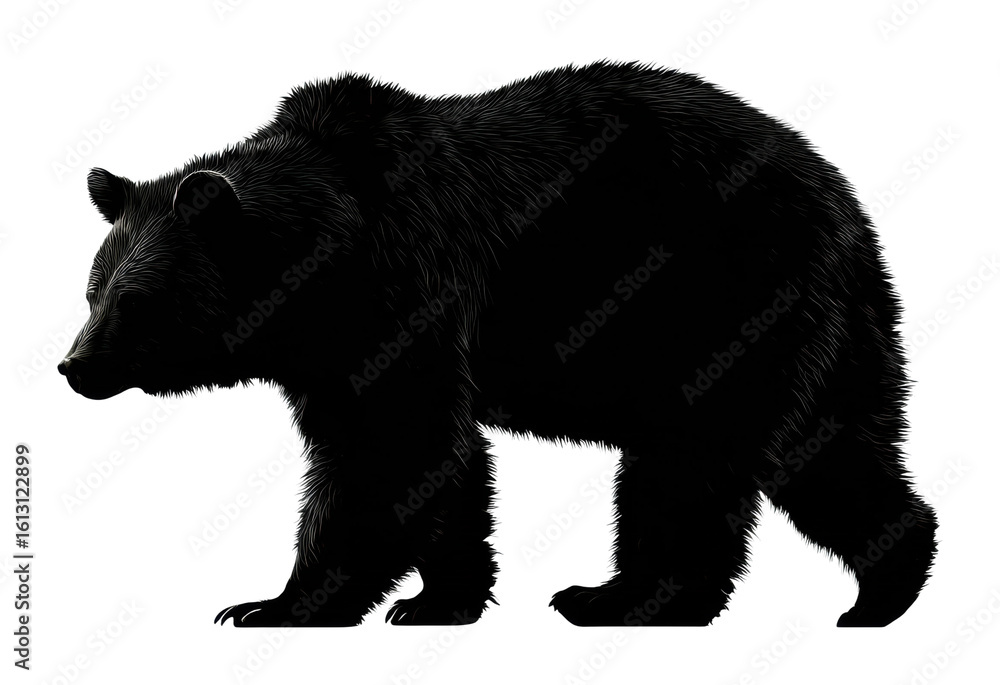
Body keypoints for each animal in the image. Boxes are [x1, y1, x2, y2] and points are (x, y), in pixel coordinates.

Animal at [59, 61, 937, 628]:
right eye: (91, 290)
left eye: (135, 301)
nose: (73, 366)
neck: (324, 264)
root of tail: (846, 202)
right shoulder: (332, 355)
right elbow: (364, 454)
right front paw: (287, 599)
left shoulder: (408, 291)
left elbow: (403, 444)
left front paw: (374, 603)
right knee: (738, 458)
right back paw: (632, 598)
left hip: (735, 303)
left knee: (768, 453)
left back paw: (867, 593)